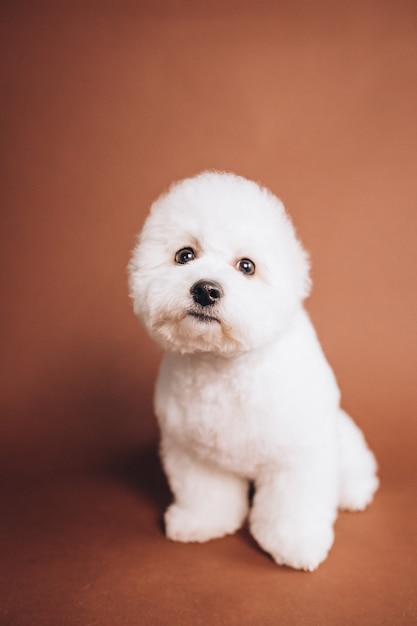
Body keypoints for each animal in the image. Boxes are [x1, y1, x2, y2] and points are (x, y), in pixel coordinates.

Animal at [128, 171, 378, 572]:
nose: (206, 290)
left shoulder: (298, 455)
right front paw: (202, 522)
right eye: (185, 255)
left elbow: (294, 506)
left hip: (342, 438)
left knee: (354, 467)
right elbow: (205, 494)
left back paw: (355, 492)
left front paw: (296, 543)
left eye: (247, 266)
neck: (223, 366)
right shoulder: (195, 453)